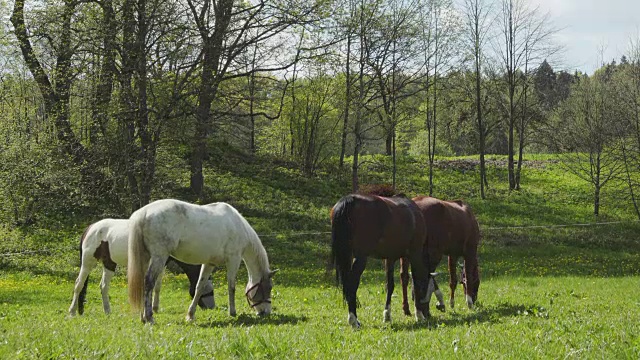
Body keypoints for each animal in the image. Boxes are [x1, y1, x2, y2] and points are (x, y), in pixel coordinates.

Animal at [69, 217, 215, 316]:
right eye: (208, 290)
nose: (212, 307)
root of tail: (91, 228)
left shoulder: (162, 264)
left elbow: (157, 286)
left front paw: (155, 307)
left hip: (109, 264)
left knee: (103, 286)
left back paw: (107, 311)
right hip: (88, 262)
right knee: (79, 284)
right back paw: (72, 311)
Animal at [127, 198, 276, 324]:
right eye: (268, 287)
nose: (266, 312)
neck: (238, 225)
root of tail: (144, 213)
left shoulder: (209, 263)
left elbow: (199, 287)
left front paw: (190, 315)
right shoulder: (234, 259)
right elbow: (231, 287)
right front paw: (232, 312)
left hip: (146, 258)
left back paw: (143, 317)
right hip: (159, 257)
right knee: (149, 282)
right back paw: (149, 317)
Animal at [332, 194, 432, 330]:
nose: (428, 314)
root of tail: (350, 200)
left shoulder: (390, 258)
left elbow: (390, 286)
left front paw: (387, 315)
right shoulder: (414, 254)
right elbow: (416, 282)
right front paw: (419, 315)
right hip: (361, 258)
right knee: (351, 285)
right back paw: (354, 321)